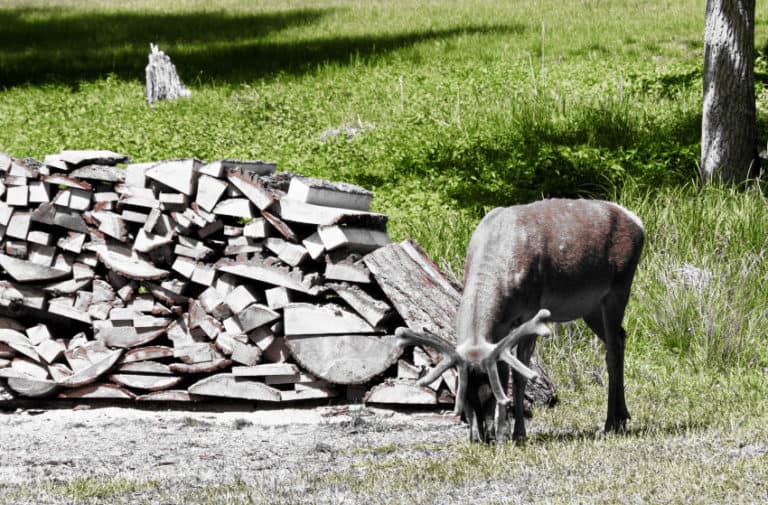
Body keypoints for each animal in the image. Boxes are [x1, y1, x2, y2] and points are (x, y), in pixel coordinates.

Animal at [397, 198, 645, 443]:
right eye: (463, 397)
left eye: (491, 395)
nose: (481, 438)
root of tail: (637, 220)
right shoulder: (501, 328)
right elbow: (505, 367)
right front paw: (503, 432)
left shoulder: (531, 312)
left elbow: (519, 374)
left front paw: (515, 433)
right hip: (590, 307)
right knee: (621, 337)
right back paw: (622, 417)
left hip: (619, 286)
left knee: (612, 350)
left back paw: (611, 423)